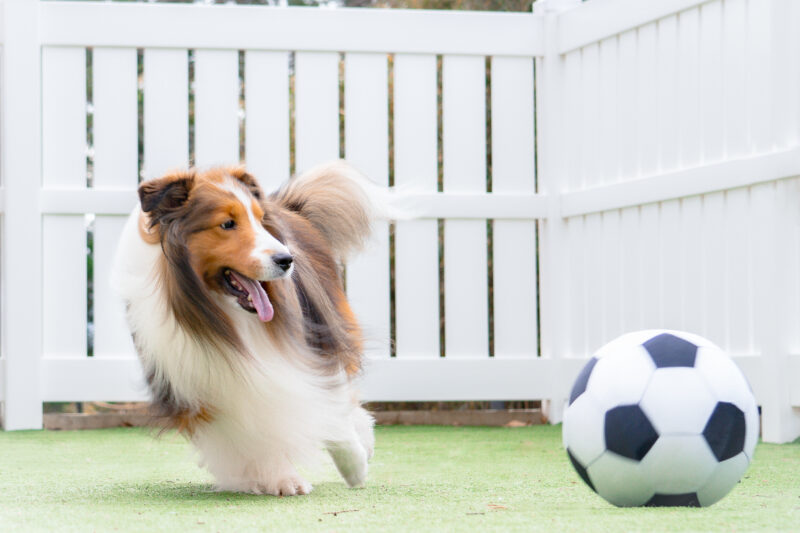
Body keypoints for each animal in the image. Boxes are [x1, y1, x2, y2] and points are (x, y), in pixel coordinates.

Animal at [112, 159, 388, 494]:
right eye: (228, 224)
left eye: (259, 220)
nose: (286, 259)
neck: (230, 320)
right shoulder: (204, 390)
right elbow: (253, 432)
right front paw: (282, 477)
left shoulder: (312, 348)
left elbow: (330, 407)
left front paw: (355, 468)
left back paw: (364, 441)